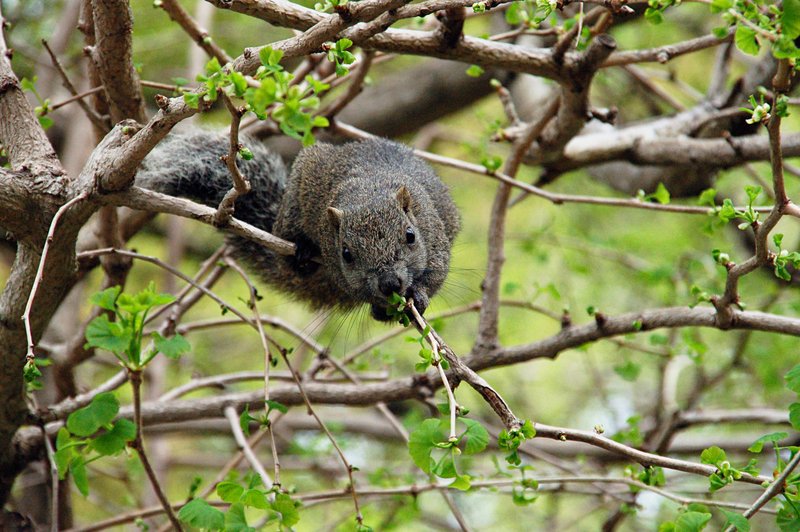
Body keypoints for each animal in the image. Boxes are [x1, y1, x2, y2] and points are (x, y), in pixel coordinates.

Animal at [137, 131, 460, 322]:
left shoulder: (434, 236)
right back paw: (301, 253)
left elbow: (436, 272)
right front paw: (382, 304)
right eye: (346, 254)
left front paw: (418, 294)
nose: (389, 284)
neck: (369, 190)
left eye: (410, 236)